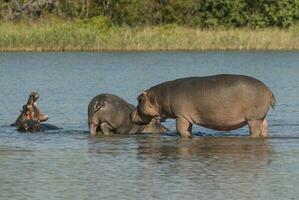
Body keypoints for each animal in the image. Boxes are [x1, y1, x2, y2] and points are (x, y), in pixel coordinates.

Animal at [130, 74, 276, 138]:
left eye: (138, 99)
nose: (130, 114)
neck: (158, 98)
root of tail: (269, 91)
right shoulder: (187, 117)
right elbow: (187, 129)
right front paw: (190, 134)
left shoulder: (180, 116)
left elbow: (180, 130)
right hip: (260, 118)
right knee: (265, 127)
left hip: (253, 119)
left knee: (255, 131)